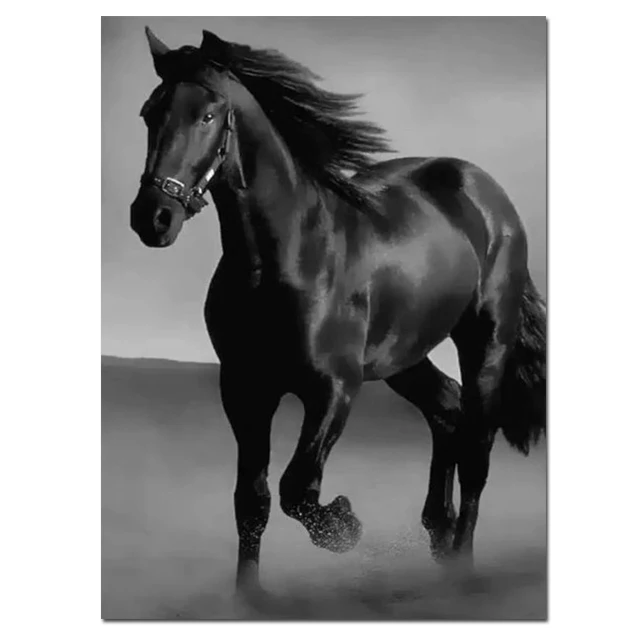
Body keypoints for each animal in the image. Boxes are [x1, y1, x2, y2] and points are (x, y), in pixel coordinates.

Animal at [129, 27, 546, 596]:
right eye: (150, 112)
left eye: (208, 115)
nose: (153, 217)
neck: (285, 258)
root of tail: (487, 192)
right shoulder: (244, 388)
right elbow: (253, 501)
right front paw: (248, 596)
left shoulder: (334, 388)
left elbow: (297, 487)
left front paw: (344, 526)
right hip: (403, 355)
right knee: (447, 408)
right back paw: (437, 532)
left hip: (486, 340)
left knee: (477, 447)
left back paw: (460, 562)